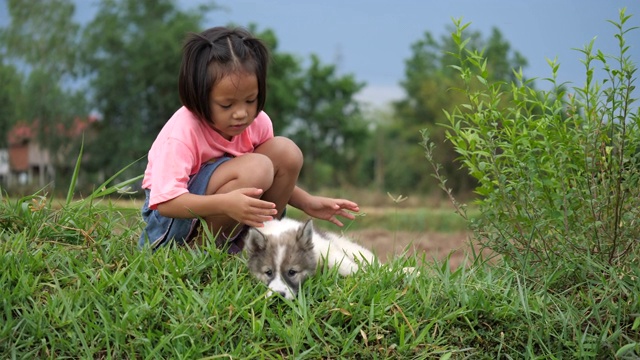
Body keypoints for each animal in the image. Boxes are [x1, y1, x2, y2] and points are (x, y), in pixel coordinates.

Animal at [244, 218, 376, 300]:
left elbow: (344, 265)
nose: (278, 296)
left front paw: (364, 277)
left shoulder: (326, 249)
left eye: (292, 272)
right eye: (268, 272)